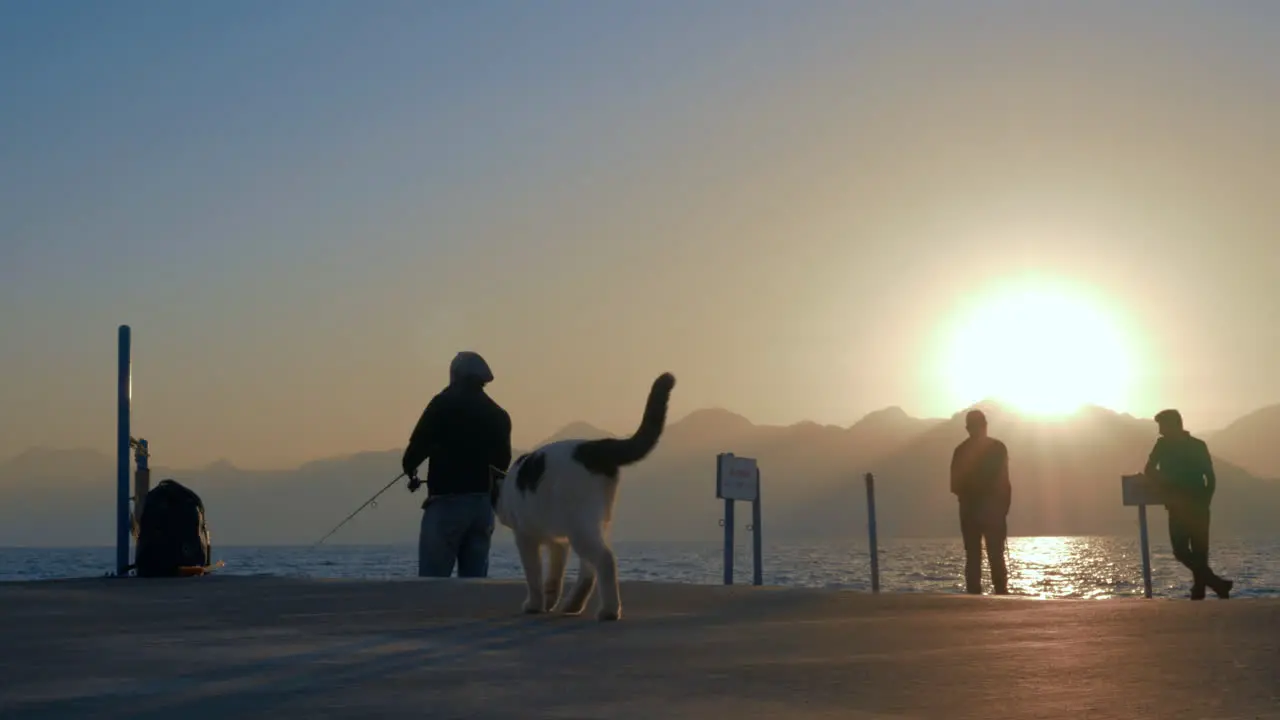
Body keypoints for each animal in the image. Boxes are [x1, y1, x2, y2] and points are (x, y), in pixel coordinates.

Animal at [491, 368, 680, 617]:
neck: (508, 485)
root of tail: (598, 446)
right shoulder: (558, 543)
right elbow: (554, 578)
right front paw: (549, 603)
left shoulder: (525, 538)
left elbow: (534, 577)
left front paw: (534, 605)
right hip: (590, 525)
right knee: (589, 572)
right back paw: (573, 605)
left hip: (580, 527)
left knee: (605, 560)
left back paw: (609, 611)